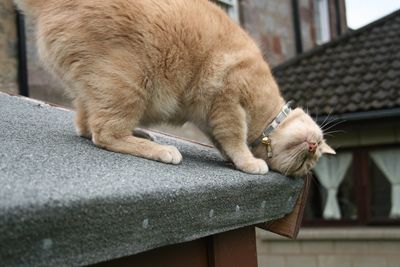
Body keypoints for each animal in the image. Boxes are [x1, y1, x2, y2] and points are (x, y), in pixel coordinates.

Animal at [14, 0, 334, 177]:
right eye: (310, 158)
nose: (312, 147)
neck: (267, 121)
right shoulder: (228, 101)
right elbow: (234, 139)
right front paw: (249, 162)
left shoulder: (210, 116)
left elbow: (224, 144)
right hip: (128, 85)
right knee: (104, 134)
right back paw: (161, 149)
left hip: (100, 90)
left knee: (86, 125)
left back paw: (142, 135)